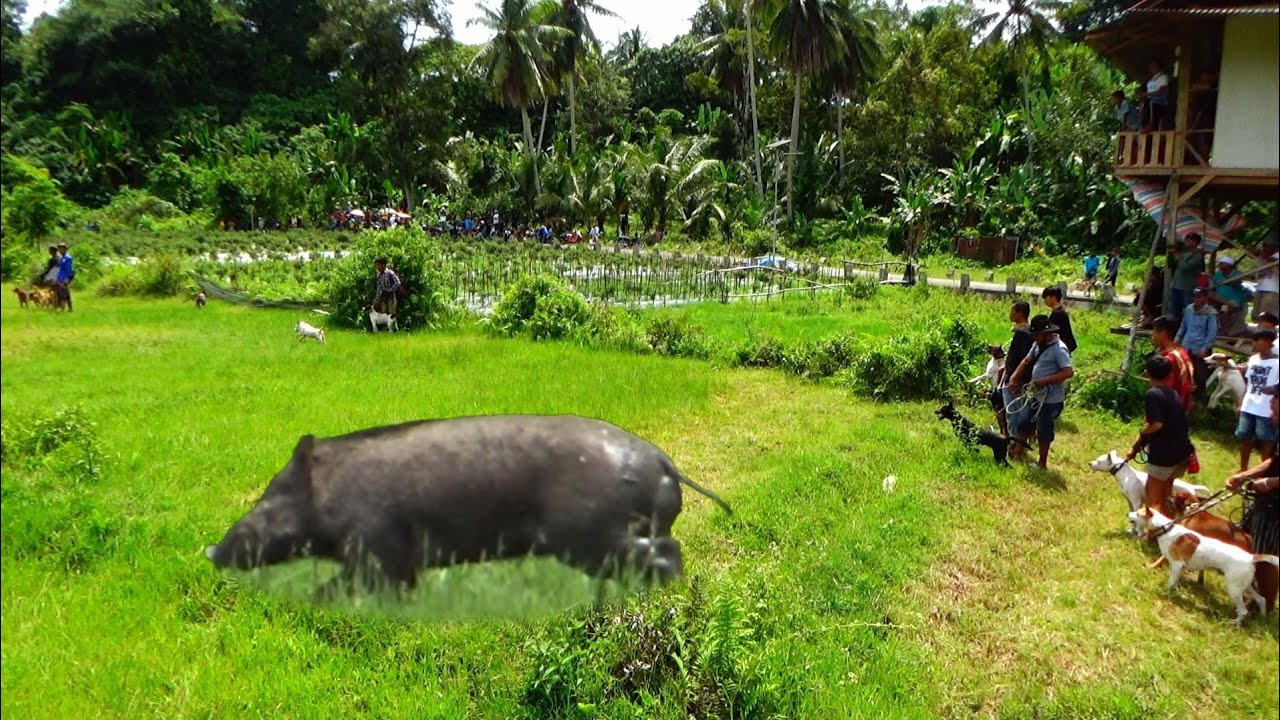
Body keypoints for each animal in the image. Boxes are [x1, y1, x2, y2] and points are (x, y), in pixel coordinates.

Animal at [204, 414, 732, 599]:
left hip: (595, 535)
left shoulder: (376, 546)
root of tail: (663, 460)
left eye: (272, 497)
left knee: (666, 554)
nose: (211, 550)